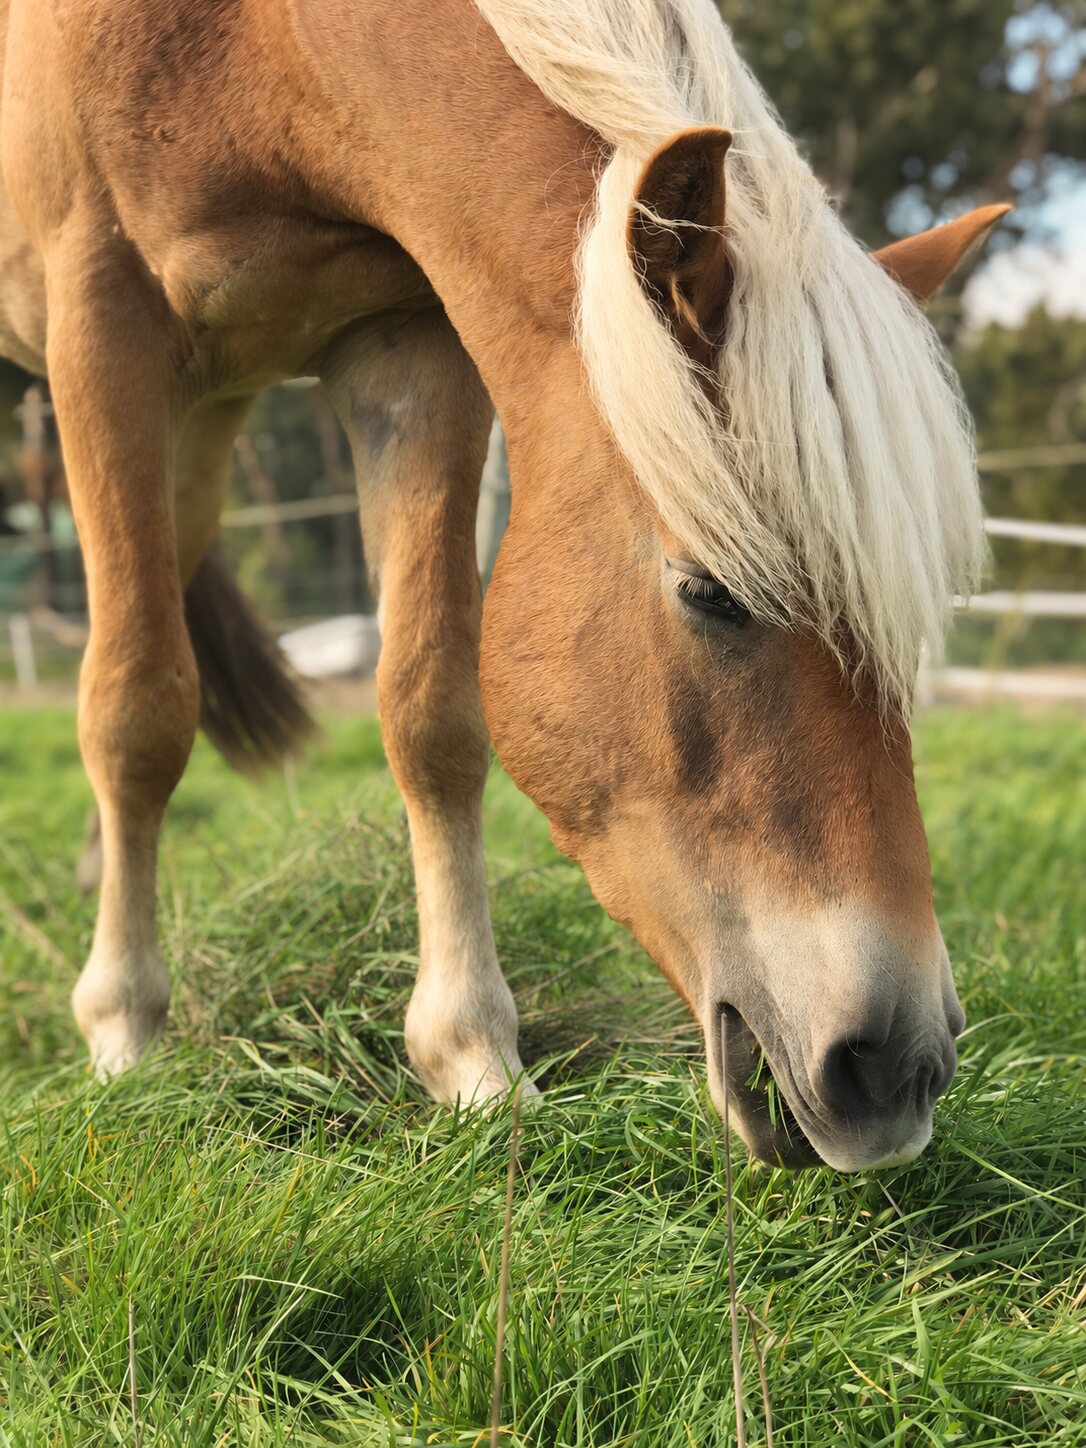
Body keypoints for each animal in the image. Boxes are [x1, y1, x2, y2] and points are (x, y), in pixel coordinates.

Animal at [0, 0, 1007, 1171]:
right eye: (711, 591)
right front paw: (123, 1030)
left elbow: (431, 712)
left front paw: (472, 1058)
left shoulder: (407, 341)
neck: (255, 52)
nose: (899, 1063)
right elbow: (137, 708)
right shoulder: (100, 324)